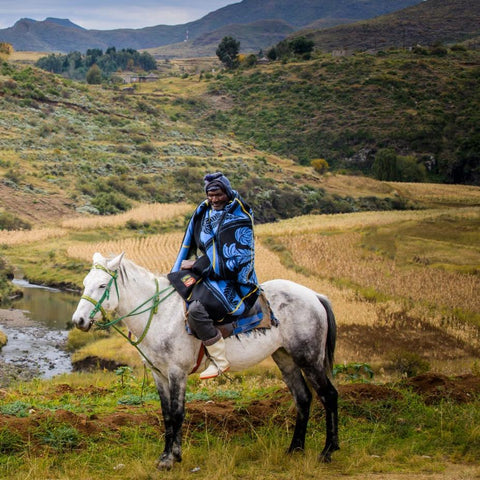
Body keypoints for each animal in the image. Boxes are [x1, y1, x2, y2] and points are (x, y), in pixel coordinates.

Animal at [73, 253, 340, 470]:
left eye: (102, 285)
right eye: (85, 283)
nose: (79, 321)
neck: (159, 314)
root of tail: (314, 295)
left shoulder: (177, 372)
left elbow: (178, 413)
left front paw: (171, 459)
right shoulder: (159, 374)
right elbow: (166, 414)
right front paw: (167, 455)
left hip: (309, 358)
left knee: (328, 395)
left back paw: (328, 451)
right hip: (285, 357)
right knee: (303, 398)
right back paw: (295, 449)